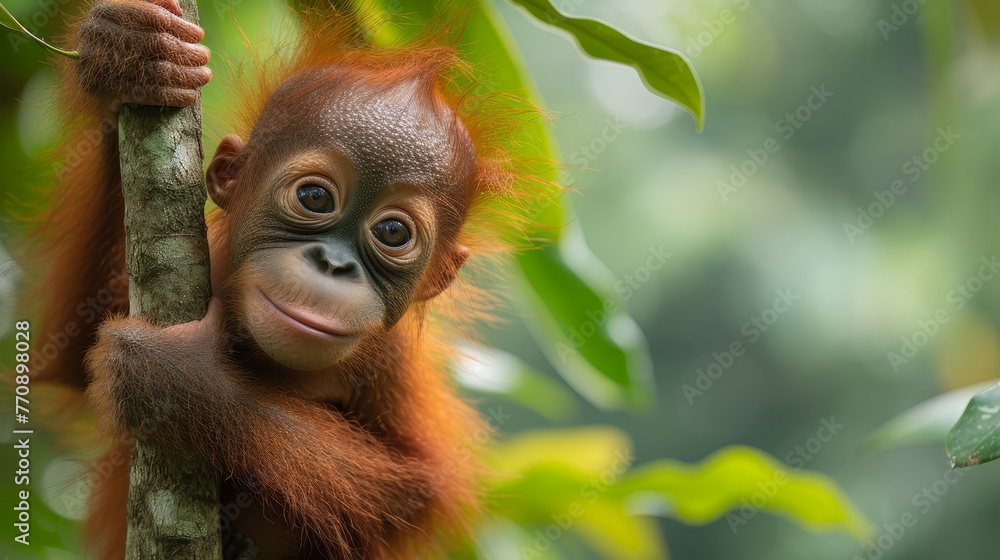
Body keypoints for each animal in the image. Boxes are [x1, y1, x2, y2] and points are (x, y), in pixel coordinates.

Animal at [26, 0, 538, 558]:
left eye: (393, 232)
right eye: (314, 198)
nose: (333, 264)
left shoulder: (392, 360)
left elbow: (418, 488)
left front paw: (175, 381)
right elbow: (72, 346)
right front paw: (127, 55)